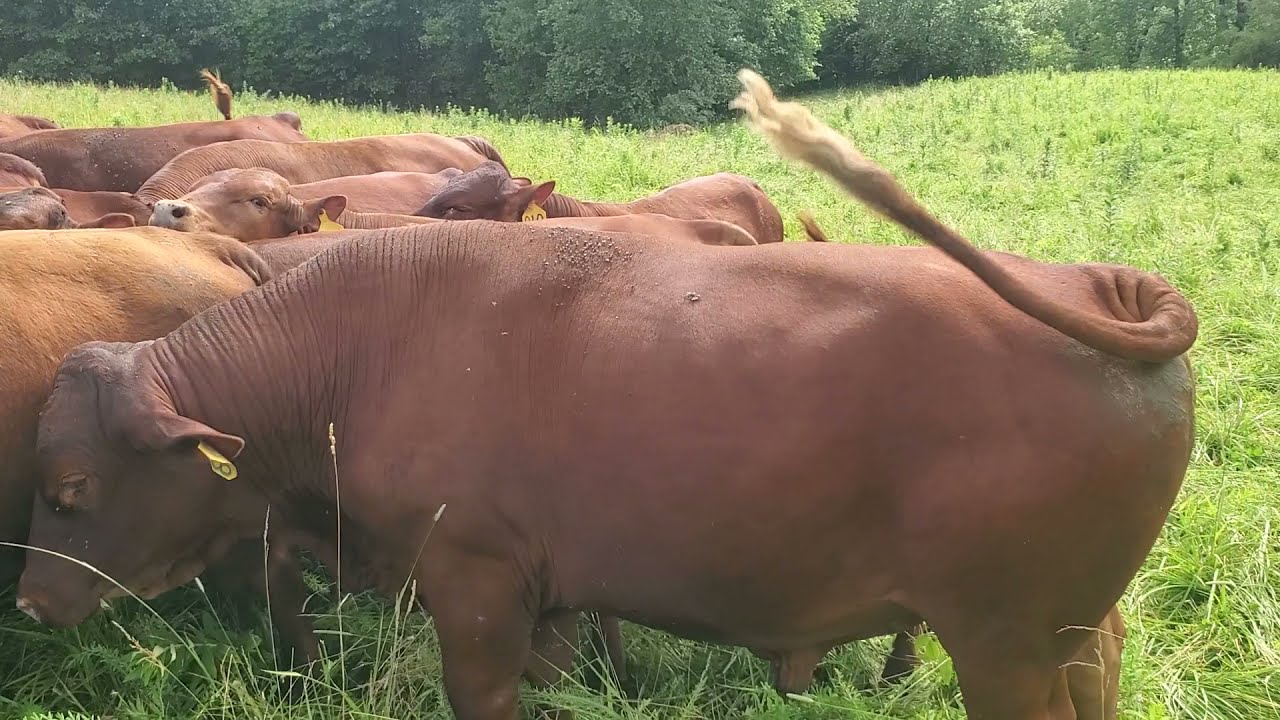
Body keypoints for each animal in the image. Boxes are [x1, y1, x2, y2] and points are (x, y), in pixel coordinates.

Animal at [16, 69, 1196, 720]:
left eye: (69, 491)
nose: (25, 606)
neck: (355, 350)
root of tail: (1096, 285)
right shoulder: (549, 596)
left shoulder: (475, 586)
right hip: (1069, 635)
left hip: (1001, 648)